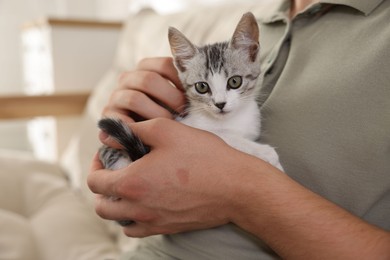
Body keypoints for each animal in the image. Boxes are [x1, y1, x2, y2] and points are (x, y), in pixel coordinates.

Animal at [99, 11, 282, 258]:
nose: (220, 104)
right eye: (202, 87)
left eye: (235, 81)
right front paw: (269, 157)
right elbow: (228, 138)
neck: (230, 120)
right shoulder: (191, 126)